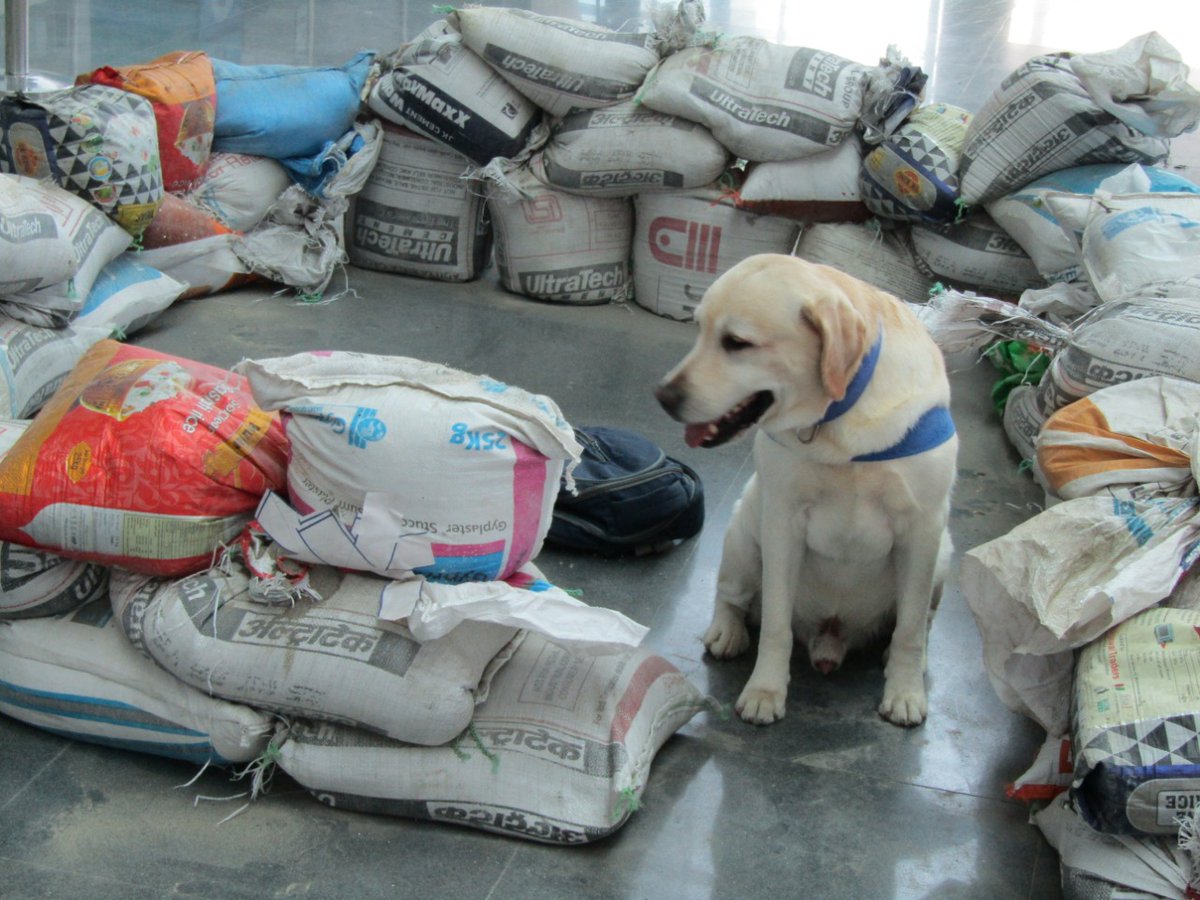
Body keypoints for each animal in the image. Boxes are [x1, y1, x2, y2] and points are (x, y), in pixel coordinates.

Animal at [657, 252, 955, 724]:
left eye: (736, 343)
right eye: (698, 327)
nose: (663, 397)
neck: (841, 414)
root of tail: (830, 639)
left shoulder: (924, 529)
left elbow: (909, 628)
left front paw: (905, 691)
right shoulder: (782, 519)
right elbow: (775, 625)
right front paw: (765, 690)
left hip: (944, 552)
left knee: (921, 620)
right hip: (743, 532)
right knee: (731, 595)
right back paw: (726, 631)